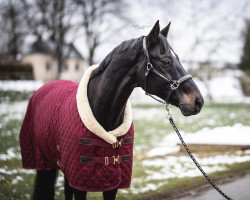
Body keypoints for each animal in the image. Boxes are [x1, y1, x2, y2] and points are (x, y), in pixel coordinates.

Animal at [19, 20, 203, 200]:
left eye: (177, 58)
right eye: (166, 61)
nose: (198, 101)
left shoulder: (111, 182)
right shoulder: (80, 182)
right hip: (46, 164)